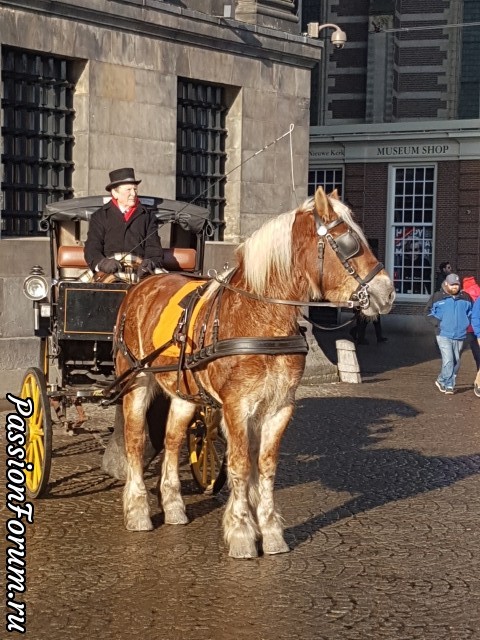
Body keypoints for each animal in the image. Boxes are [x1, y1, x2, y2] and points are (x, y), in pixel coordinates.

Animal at [114, 188, 396, 556]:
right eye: (348, 242)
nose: (387, 292)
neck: (261, 318)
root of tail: (141, 283)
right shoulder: (237, 407)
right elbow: (239, 463)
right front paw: (242, 533)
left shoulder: (279, 408)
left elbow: (265, 466)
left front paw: (271, 531)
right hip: (136, 382)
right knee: (135, 441)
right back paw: (137, 511)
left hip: (185, 392)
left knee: (173, 441)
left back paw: (173, 506)